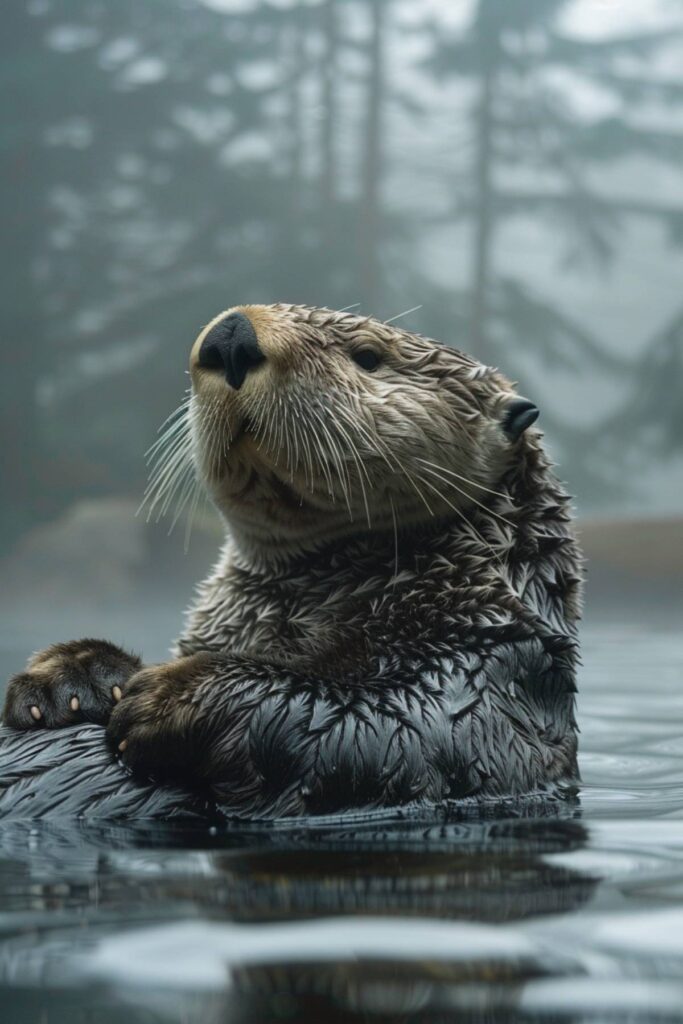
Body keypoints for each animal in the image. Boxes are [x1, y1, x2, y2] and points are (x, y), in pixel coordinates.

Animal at [0, 301, 581, 815]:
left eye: (367, 355)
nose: (230, 334)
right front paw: (74, 678)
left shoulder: (487, 676)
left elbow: (382, 729)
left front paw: (171, 696)